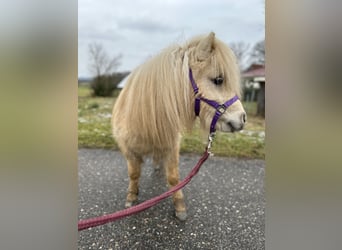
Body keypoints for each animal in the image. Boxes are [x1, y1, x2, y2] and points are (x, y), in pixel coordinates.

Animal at [112, 31, 246, 221]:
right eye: (218, 80)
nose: (242, 118)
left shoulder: (171, 146)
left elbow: (174, 178)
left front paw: (179, 207)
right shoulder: (128, 150)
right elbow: (134, 174)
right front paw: (131, 196)